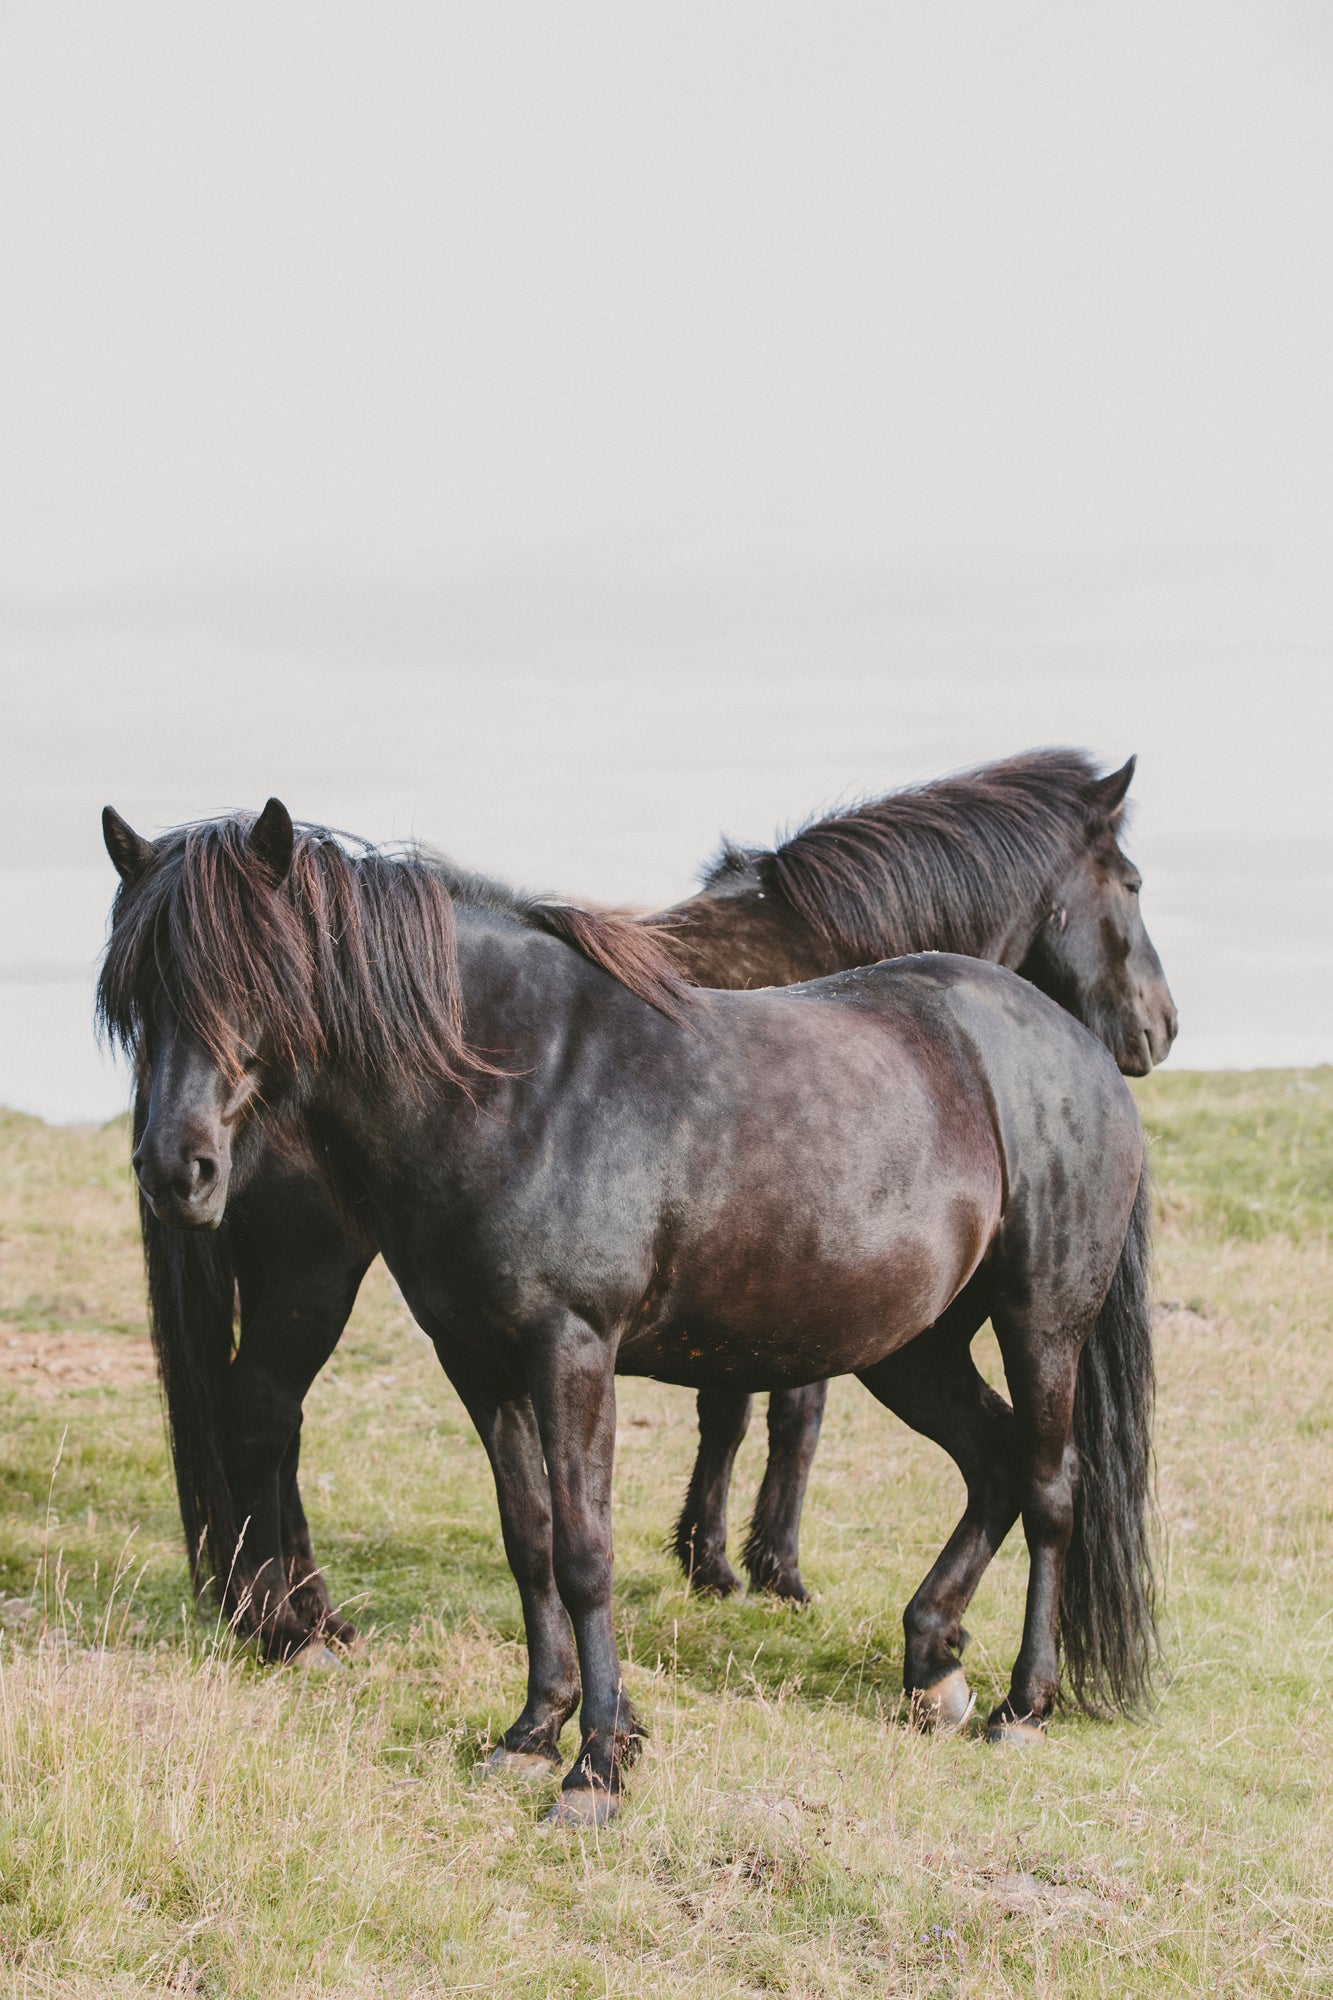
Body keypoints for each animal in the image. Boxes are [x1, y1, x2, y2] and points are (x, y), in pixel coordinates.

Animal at [99, 799, 1158, 1824]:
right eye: (137, 994)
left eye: (257, 976)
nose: (176, 1170)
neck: (514, 1083)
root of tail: (1076, 1051)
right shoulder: (478, 1361)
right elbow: (528, 1540)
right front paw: (534, 1730)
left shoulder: (571, 1350)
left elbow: (584, 1551)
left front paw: (597, 1767)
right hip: (911, 1348)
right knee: (992, 1461)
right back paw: (932, 1664)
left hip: (1039, 1322)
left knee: (1049, 1487)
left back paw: (1024, 1706)